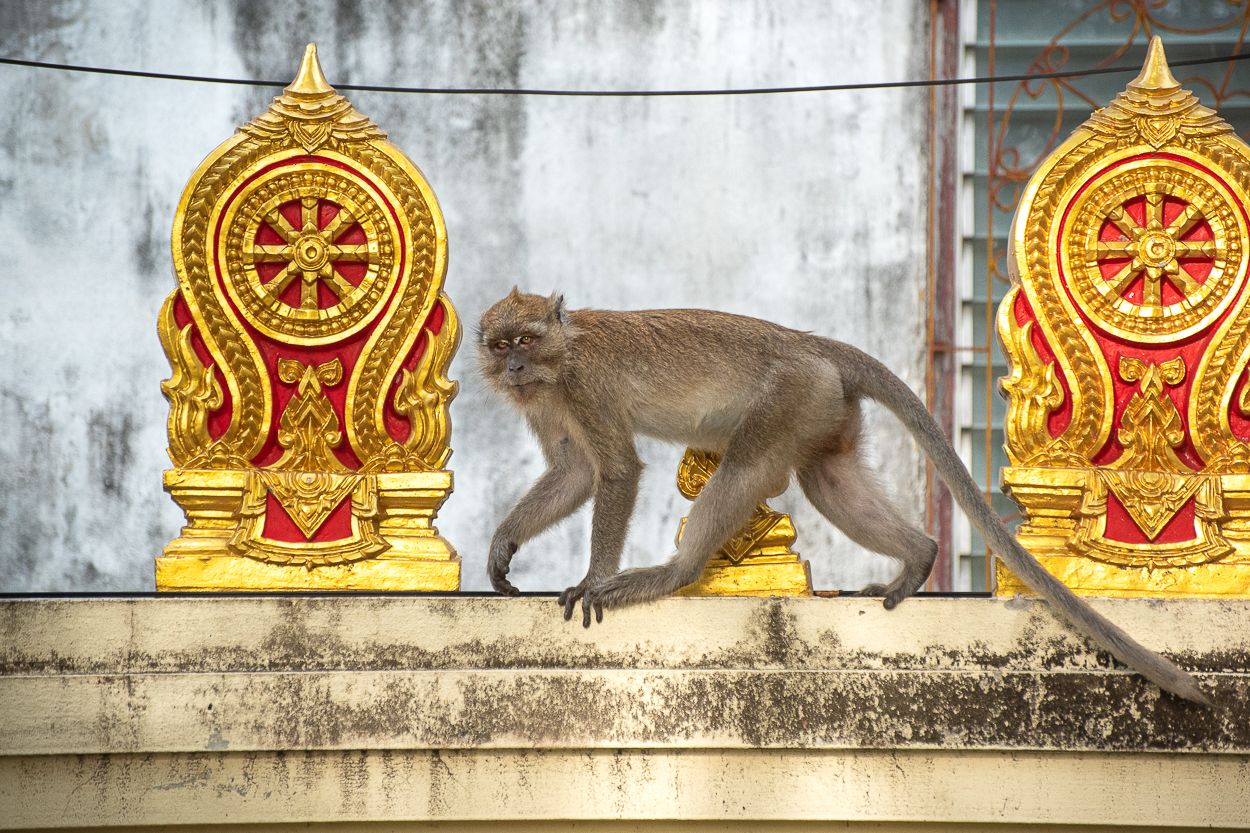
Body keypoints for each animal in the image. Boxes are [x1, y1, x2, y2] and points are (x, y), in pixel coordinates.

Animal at [477, 288, 1209, 705]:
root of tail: (810, 344)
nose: (512, 365)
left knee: (743, 471)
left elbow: (617, 472)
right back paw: (919, 556)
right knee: (826, 482)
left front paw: (593, 580)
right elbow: (575, 472)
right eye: (501, 342)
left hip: (788, 398)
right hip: (820, 409)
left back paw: (672, 574)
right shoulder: (551, 401)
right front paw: (503, 546)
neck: (560, 357)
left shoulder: (585, 386)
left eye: (526, 339)